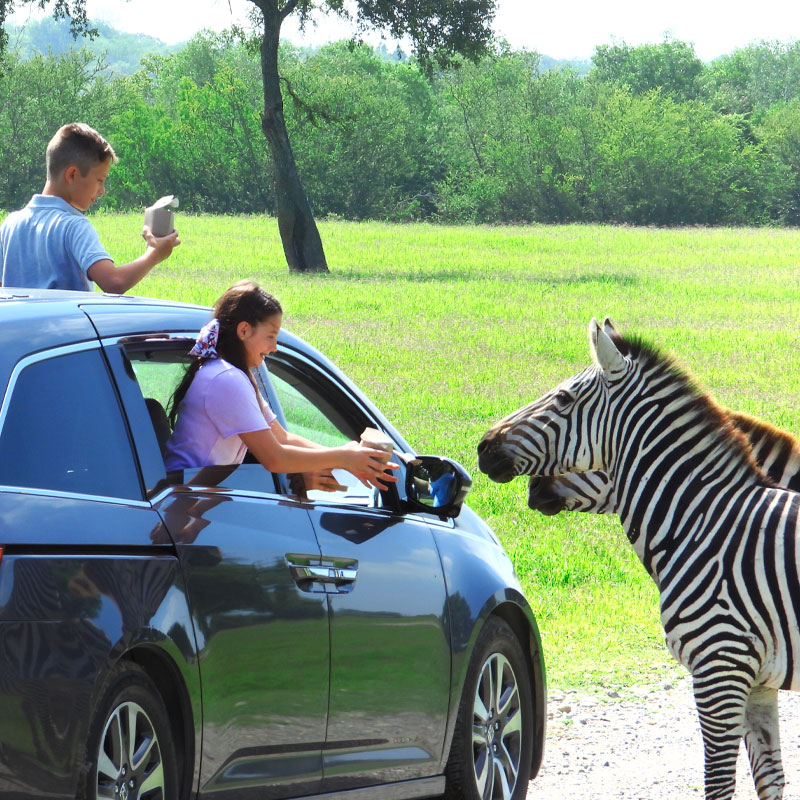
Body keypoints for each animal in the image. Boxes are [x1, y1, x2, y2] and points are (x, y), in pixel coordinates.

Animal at [478, 318, 800, 800]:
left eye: (564, 399)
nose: (483, 447)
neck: (705, 522)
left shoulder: (719, 667)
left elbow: (718, 782)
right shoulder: (757, 680)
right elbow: (770, 779)